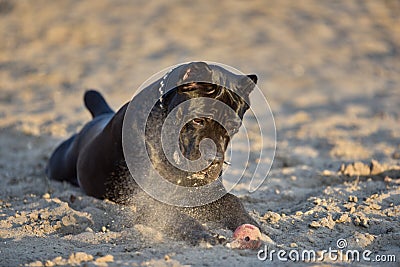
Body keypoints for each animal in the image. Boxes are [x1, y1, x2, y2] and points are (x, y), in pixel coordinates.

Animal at [46, 61, 260, 246]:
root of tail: (101, 115)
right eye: (198, 120)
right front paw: (203, 234)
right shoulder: (151, 201)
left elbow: (233, 202)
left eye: (233, 127)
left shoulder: (207, 191)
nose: (214, 160)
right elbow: (178, 218)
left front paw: (252, 223)